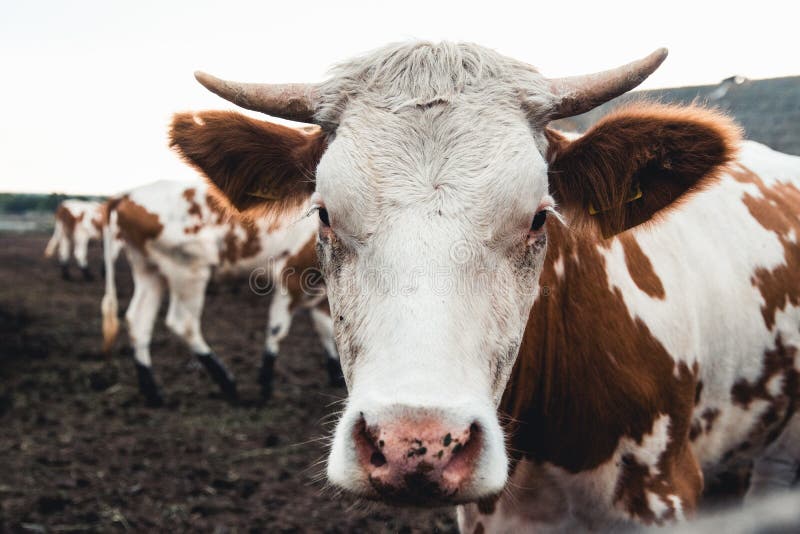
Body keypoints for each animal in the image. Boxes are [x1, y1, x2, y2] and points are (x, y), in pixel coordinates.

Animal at [101, 179, 342, 407]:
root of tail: (127, 195)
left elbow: (326, 326)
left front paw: (337, 373)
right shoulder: (291, 276)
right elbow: (277, 329)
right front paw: (265, 384)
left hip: (148, 269)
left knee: (138, 321)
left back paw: (153, 393)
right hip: (189, 270)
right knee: (183, 323)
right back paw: (227, 382)